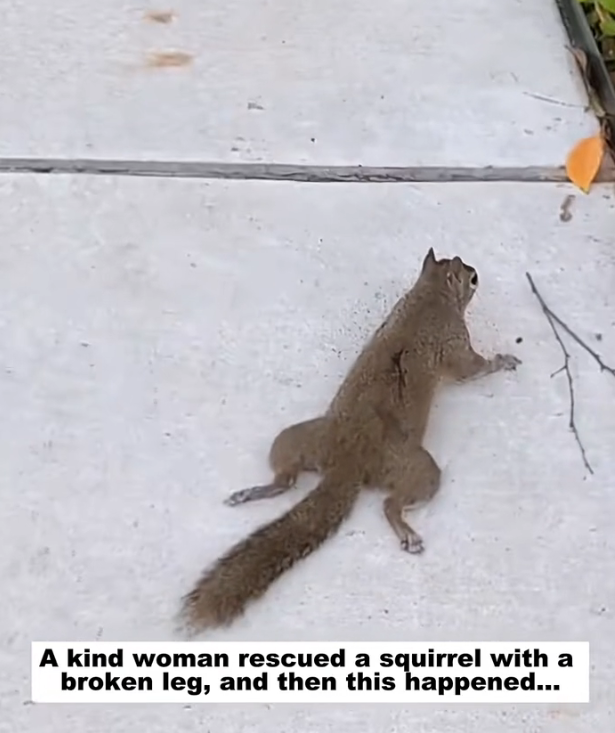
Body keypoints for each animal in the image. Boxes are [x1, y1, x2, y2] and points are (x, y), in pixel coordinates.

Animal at [179, 248, 521, 633]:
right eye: (470, 276)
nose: (477, 274)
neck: (428, 296)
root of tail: (347, 462)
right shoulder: (453, 341)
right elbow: (471, 369)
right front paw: (501, 361)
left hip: (295, 437)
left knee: (286, 480)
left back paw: (251, 492)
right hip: (417, 467)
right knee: (390, 504)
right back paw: (407, 533)